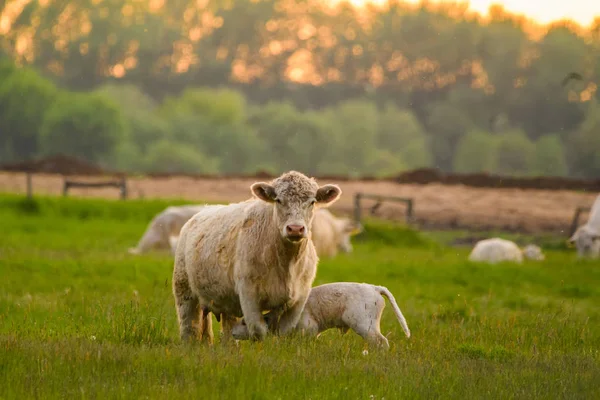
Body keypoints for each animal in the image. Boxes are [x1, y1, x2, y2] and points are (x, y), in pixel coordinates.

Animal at [173, 170, 342, 342]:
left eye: (312, 202)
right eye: (278, 200)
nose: (295, 229)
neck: (286, 263)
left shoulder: (298, 299)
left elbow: (283, 331)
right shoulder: (249, 295)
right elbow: (259, 331)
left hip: (226, 299)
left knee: (227, 332)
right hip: (184, 292)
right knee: (189, 328)